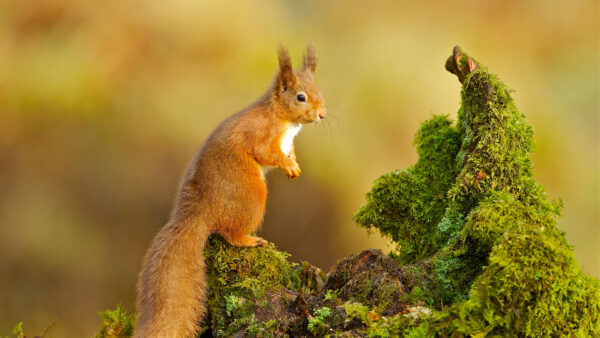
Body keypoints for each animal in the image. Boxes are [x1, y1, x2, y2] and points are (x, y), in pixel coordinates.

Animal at [135, 45, 328, 338]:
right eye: (301, 97)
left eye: (319, 91)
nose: (322, 115)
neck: (282, 118)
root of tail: (199, 214)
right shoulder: (262, 135)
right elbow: (266, 153)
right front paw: (287, 164)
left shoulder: (288, 142)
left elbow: (289, 152)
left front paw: (294, 166)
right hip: (252, 197)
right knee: (229, 233)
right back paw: (250, 240)